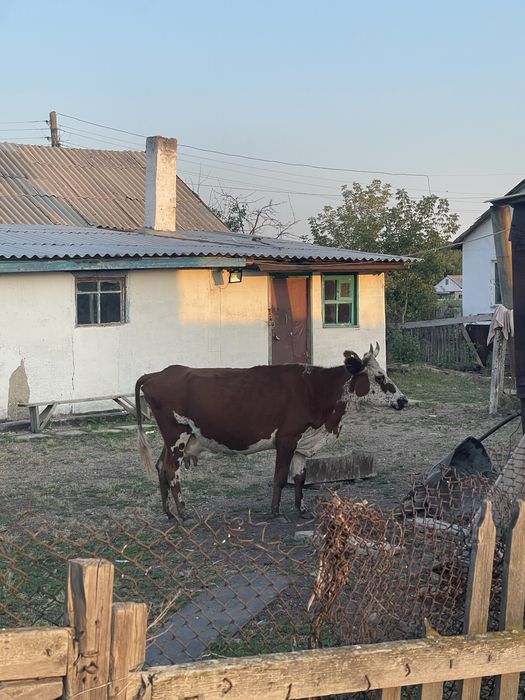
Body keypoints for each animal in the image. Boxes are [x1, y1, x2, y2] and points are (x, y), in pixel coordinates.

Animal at [135, 343, 407, 521]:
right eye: (379, 377)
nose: (403, 400)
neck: (315, 389)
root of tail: (156, 374)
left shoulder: (303, 443)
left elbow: (300, 477)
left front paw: (301, 509)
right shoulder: (286, 439)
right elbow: (280, 478)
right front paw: (275, 512)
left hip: (174, 439)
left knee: (160, 467)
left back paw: (168, 512)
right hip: (176, 436)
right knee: (172, 471)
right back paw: (183, 512)